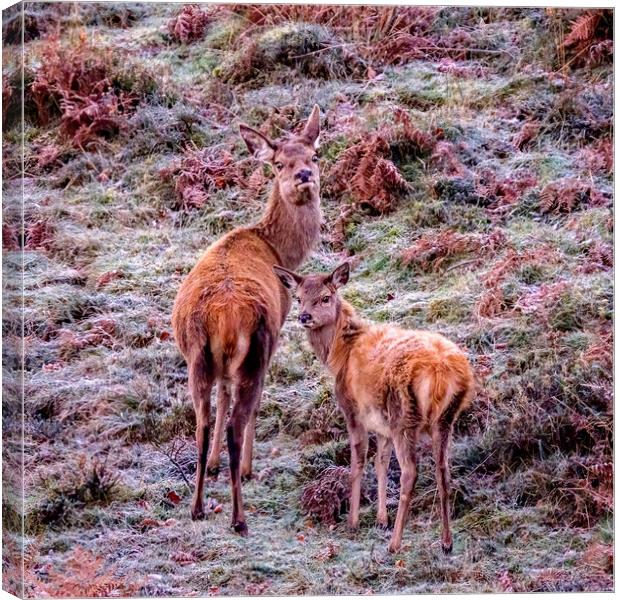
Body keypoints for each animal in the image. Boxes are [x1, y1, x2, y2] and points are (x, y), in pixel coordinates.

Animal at [272, 262, 474, 552]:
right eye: (298, 298)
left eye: (326, 297)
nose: (305, 317)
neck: (339, 356)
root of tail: (441, 372)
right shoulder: (381, 423)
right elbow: (380, 463)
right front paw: (381, 519)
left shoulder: (353, 410)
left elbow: (358, 462)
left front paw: (353, 522)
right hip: (446, 418)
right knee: (443, 470)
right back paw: (446, 542)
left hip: (404, 415)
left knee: (410, 471)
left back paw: (395, 544)